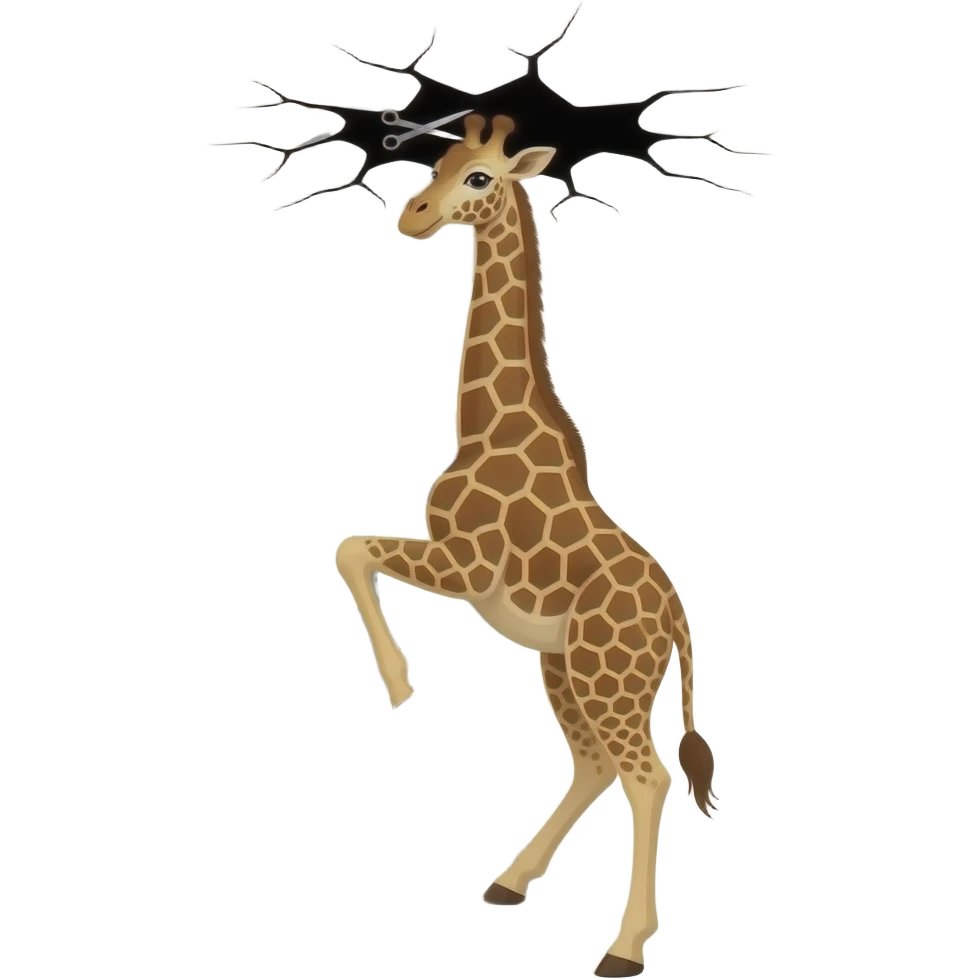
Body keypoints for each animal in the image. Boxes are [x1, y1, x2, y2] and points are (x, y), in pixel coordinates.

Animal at [334, 113, 719, 979]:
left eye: (479, 177)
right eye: (439, 160)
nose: (412, 217)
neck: (483, 426)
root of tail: (675, 618)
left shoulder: (463, 563)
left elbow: (352, 548)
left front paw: (401, 686)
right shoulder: (460, 569)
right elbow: (352, 548)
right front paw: (399, 682)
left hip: (609, 676)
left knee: (646, 775)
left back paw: (623, 948)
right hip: (565, 666)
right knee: (597, 764)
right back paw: (508, 883)